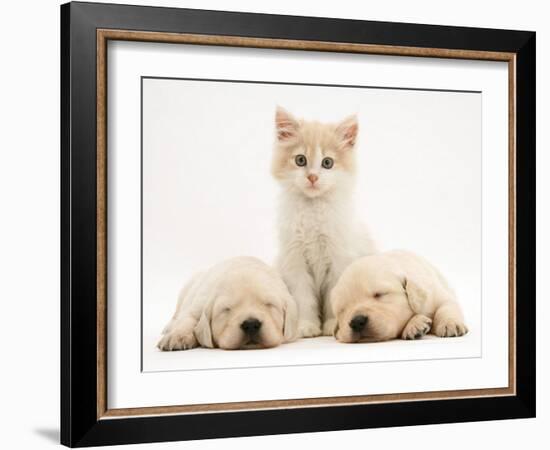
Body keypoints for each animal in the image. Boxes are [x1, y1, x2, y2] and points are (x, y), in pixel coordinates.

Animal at [157, 256, 300, 352]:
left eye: (269, 304)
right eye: (226, 309)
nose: (251, 325)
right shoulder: (198, 303)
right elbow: (187, 319)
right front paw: (176, 337)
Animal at [272, 106, 378, 338]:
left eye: (327, 163)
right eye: (300, 160)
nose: (312, 177)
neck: (313, 208)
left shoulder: (339, 258)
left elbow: (333, 296)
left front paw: (331, 326)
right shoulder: (295, 261)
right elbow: (303, 298)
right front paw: (306, 326)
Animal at [332, 251, 470, 342]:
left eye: (379, 294)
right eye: (342, 309)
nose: (357, 322)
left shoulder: (435, 294)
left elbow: (446, 306)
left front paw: (449, 324)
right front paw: (416, 324)